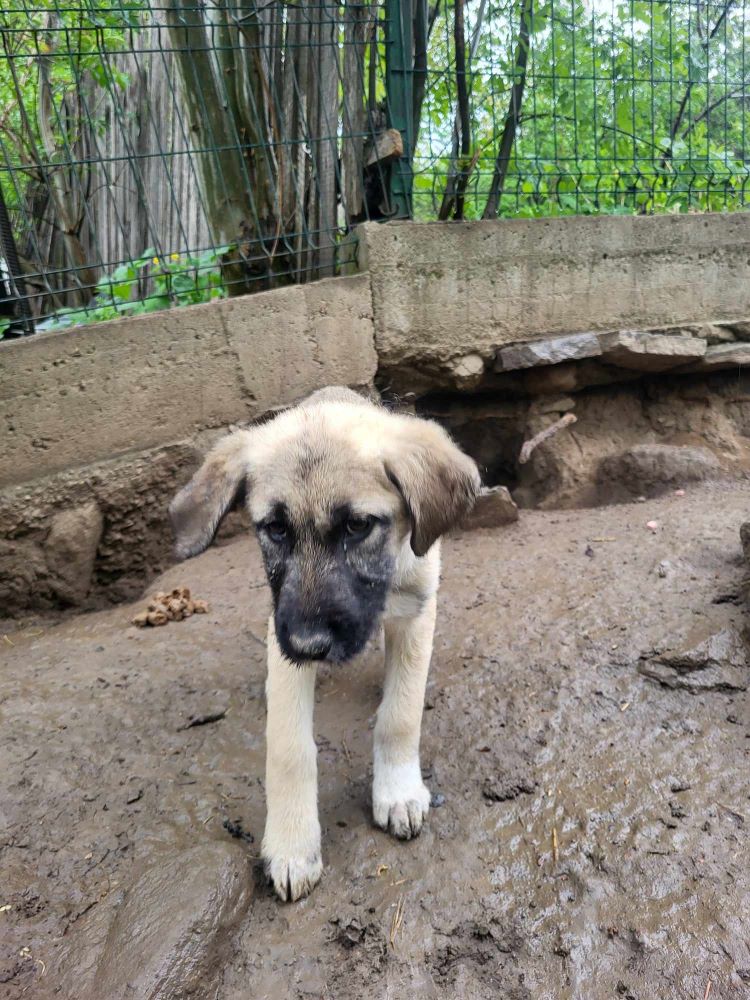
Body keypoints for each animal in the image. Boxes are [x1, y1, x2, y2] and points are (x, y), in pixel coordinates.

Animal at [169, 386, 482, 904]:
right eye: (275, 529)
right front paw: (292, 844)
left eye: (358, 526)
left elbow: (400, 716)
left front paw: (397, 790)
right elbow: (289, 747)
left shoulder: (417, 611)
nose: (309, 645)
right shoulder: (283, 633)